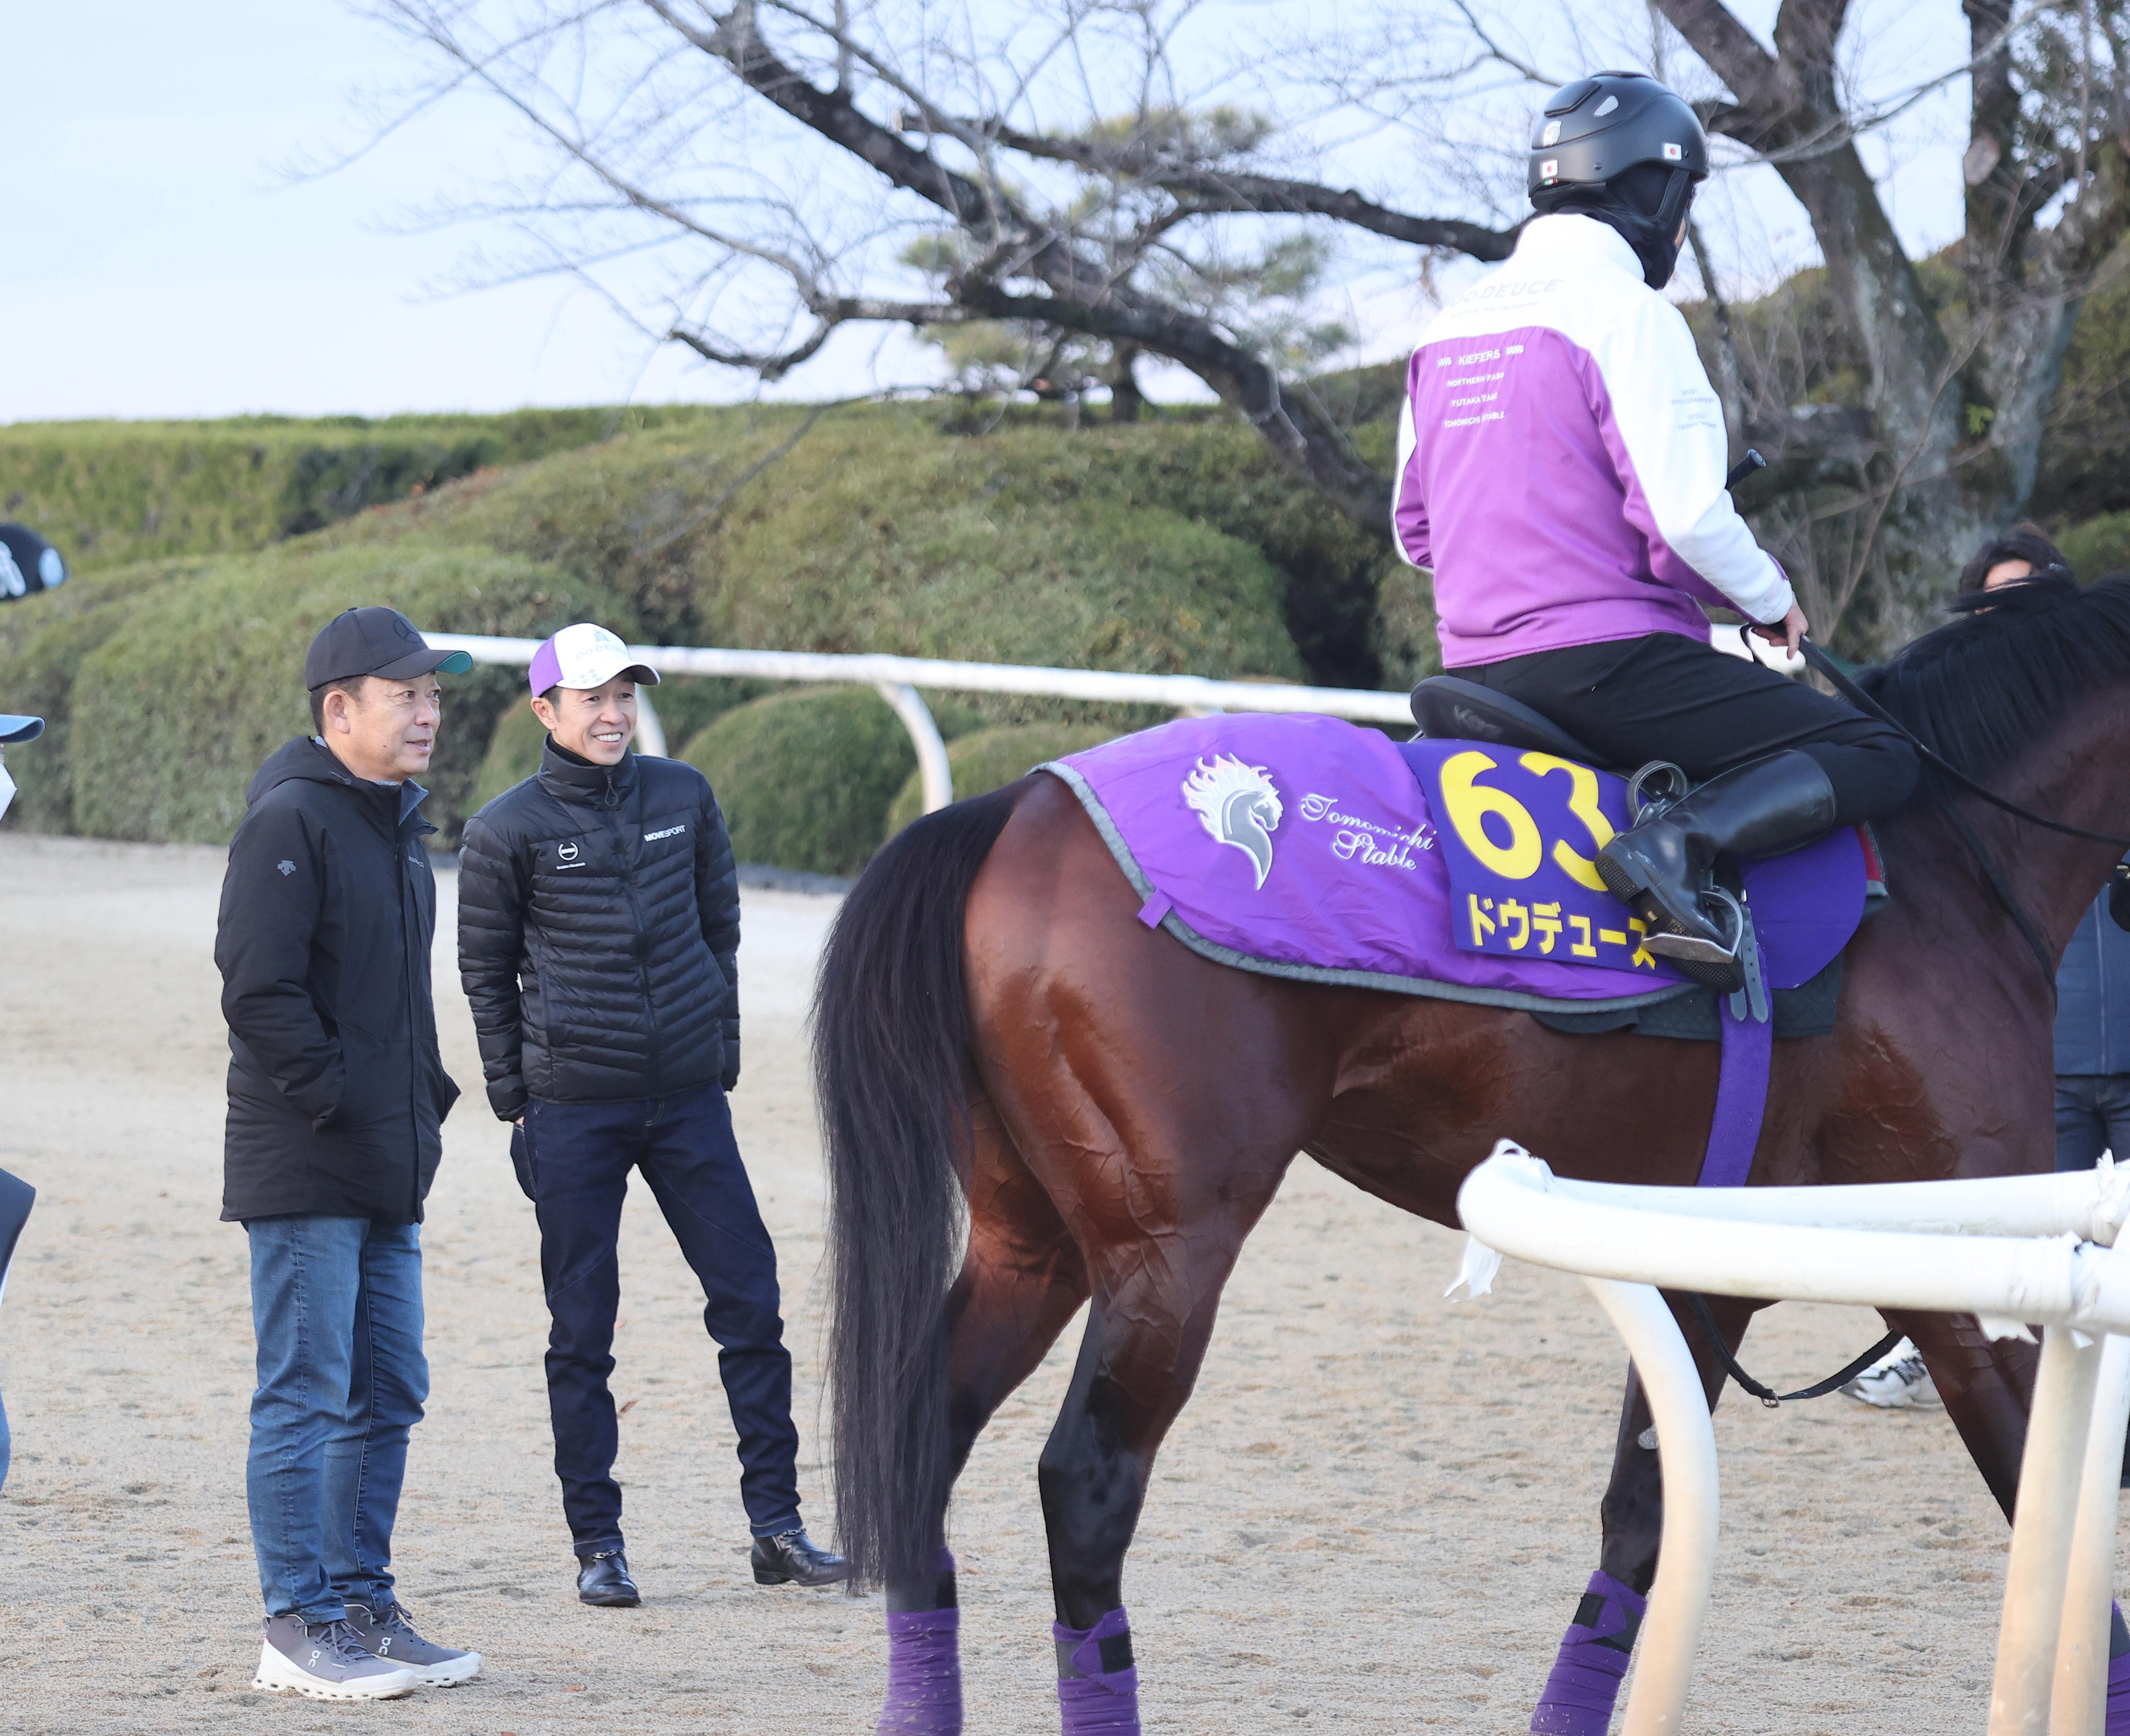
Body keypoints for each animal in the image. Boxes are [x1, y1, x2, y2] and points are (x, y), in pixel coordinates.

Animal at [812, 575, 2130, 1733]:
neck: (1951, 869)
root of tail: (1015, 806)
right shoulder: (1973, 1280)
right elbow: (2057, 1523)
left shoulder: (1711, 1269)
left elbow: (1642, 1520)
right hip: (1168, 1246)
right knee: (1088, 1484)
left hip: (1031, 1234)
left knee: (924, 1431)